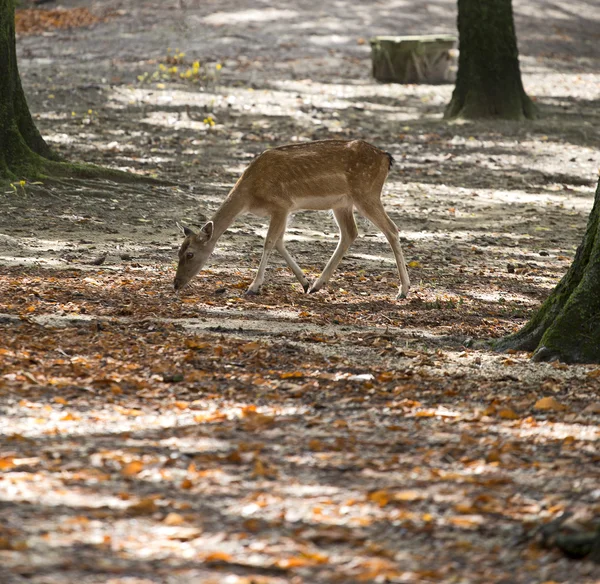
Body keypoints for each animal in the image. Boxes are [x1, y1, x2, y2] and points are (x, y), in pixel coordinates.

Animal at [171, 139, 410, 298]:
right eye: (178, 252)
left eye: (190, 254)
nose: (176, 284)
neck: (250, 195)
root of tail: (386, 158)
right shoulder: (284, 210)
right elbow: (279, 242)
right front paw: (304, 282)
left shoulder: (281, 205)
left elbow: (269, 242)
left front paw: (253, 287)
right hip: (342, 203)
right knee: (350, 233)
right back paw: (317, 284)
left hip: (366, 193)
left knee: (391, 229)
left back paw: (403, 290)